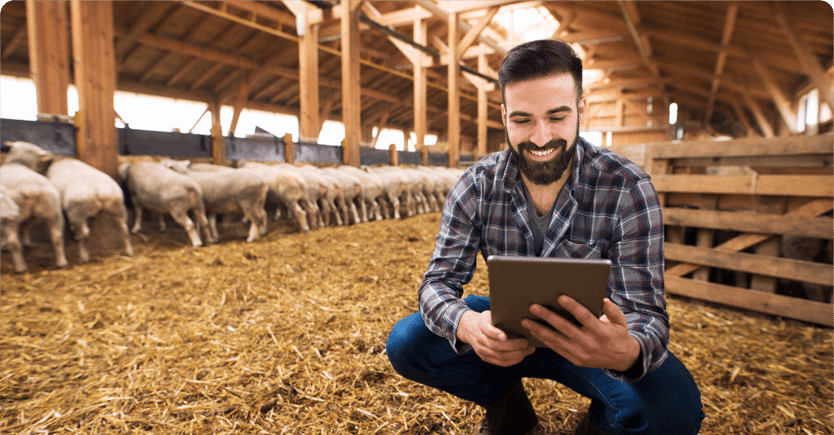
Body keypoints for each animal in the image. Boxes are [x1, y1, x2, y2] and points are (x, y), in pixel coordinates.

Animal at [0, 142, 67, 272]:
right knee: (57, 238)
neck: (19, 162)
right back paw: (61, 262)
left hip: (11, 217)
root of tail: (30, 188)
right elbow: (25, 226)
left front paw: (3, 244)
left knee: (14, 243)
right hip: (52, 211)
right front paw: (27, 242)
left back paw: (20, 267)